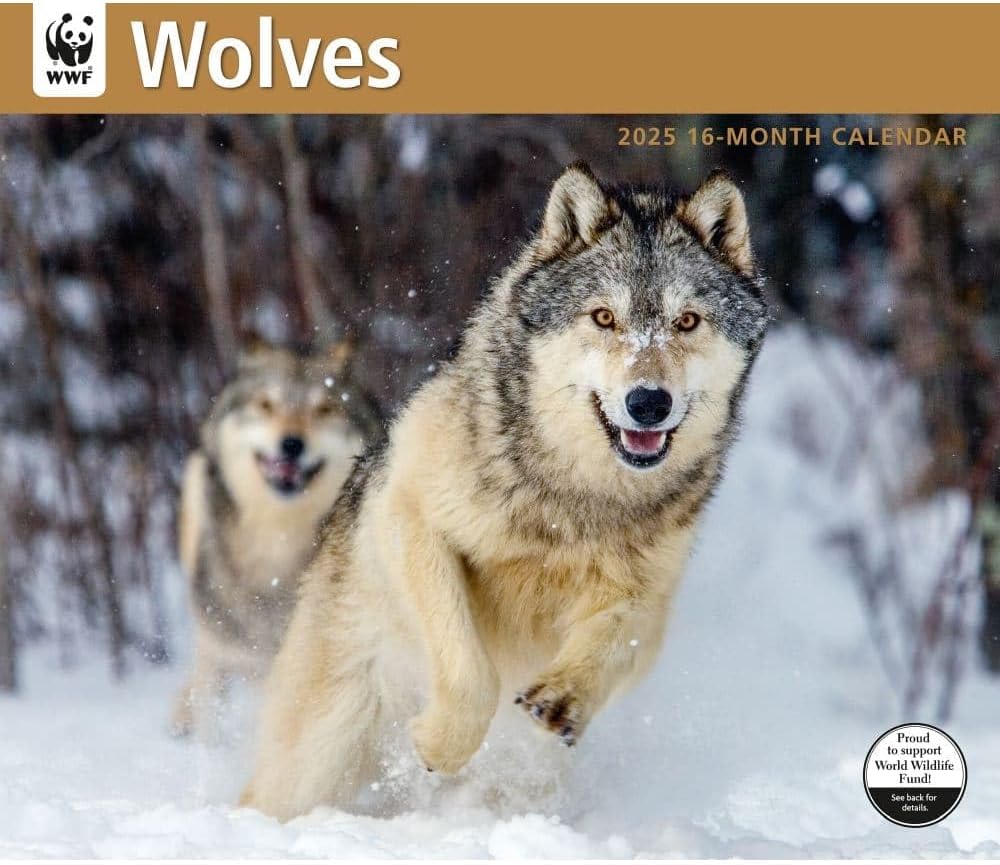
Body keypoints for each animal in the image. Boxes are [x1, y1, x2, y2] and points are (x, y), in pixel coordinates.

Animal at [241, 164, 768, 818]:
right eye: (603, 318)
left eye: (687, 321)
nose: (648, 402)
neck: (575, 502)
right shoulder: (413, 519)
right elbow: (472, 674)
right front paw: (440, 744)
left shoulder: (648, 600)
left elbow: (613, 638)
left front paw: (565, 696)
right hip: (314, 762)